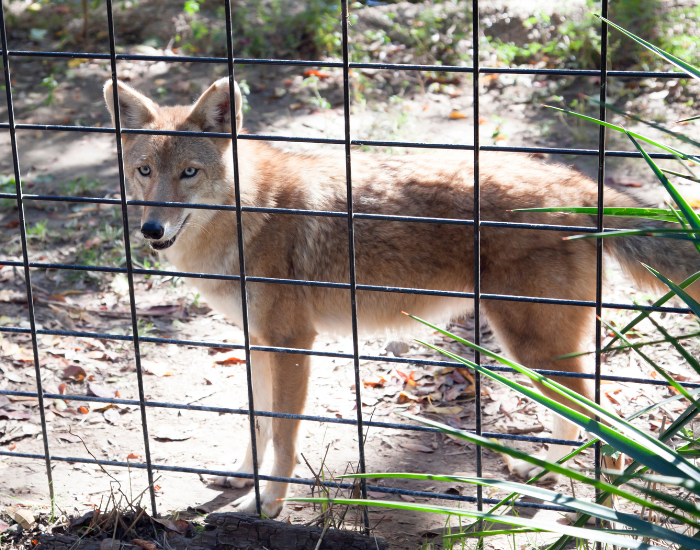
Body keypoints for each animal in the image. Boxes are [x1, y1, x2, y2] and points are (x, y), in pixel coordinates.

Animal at [104, 77, 700, 517]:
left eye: (189, 172)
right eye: (144, 171)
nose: (152, 230)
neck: (251, 214)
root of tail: (581, 186)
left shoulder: (293, 344)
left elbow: (284, 435)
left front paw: (265, 503)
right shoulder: (257, 343)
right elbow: (256, 420)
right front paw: (240, 477)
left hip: (534, 349)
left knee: (609, 423)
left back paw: (595, 512)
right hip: (535, 354)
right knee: (578, 417)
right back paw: (545, 475)